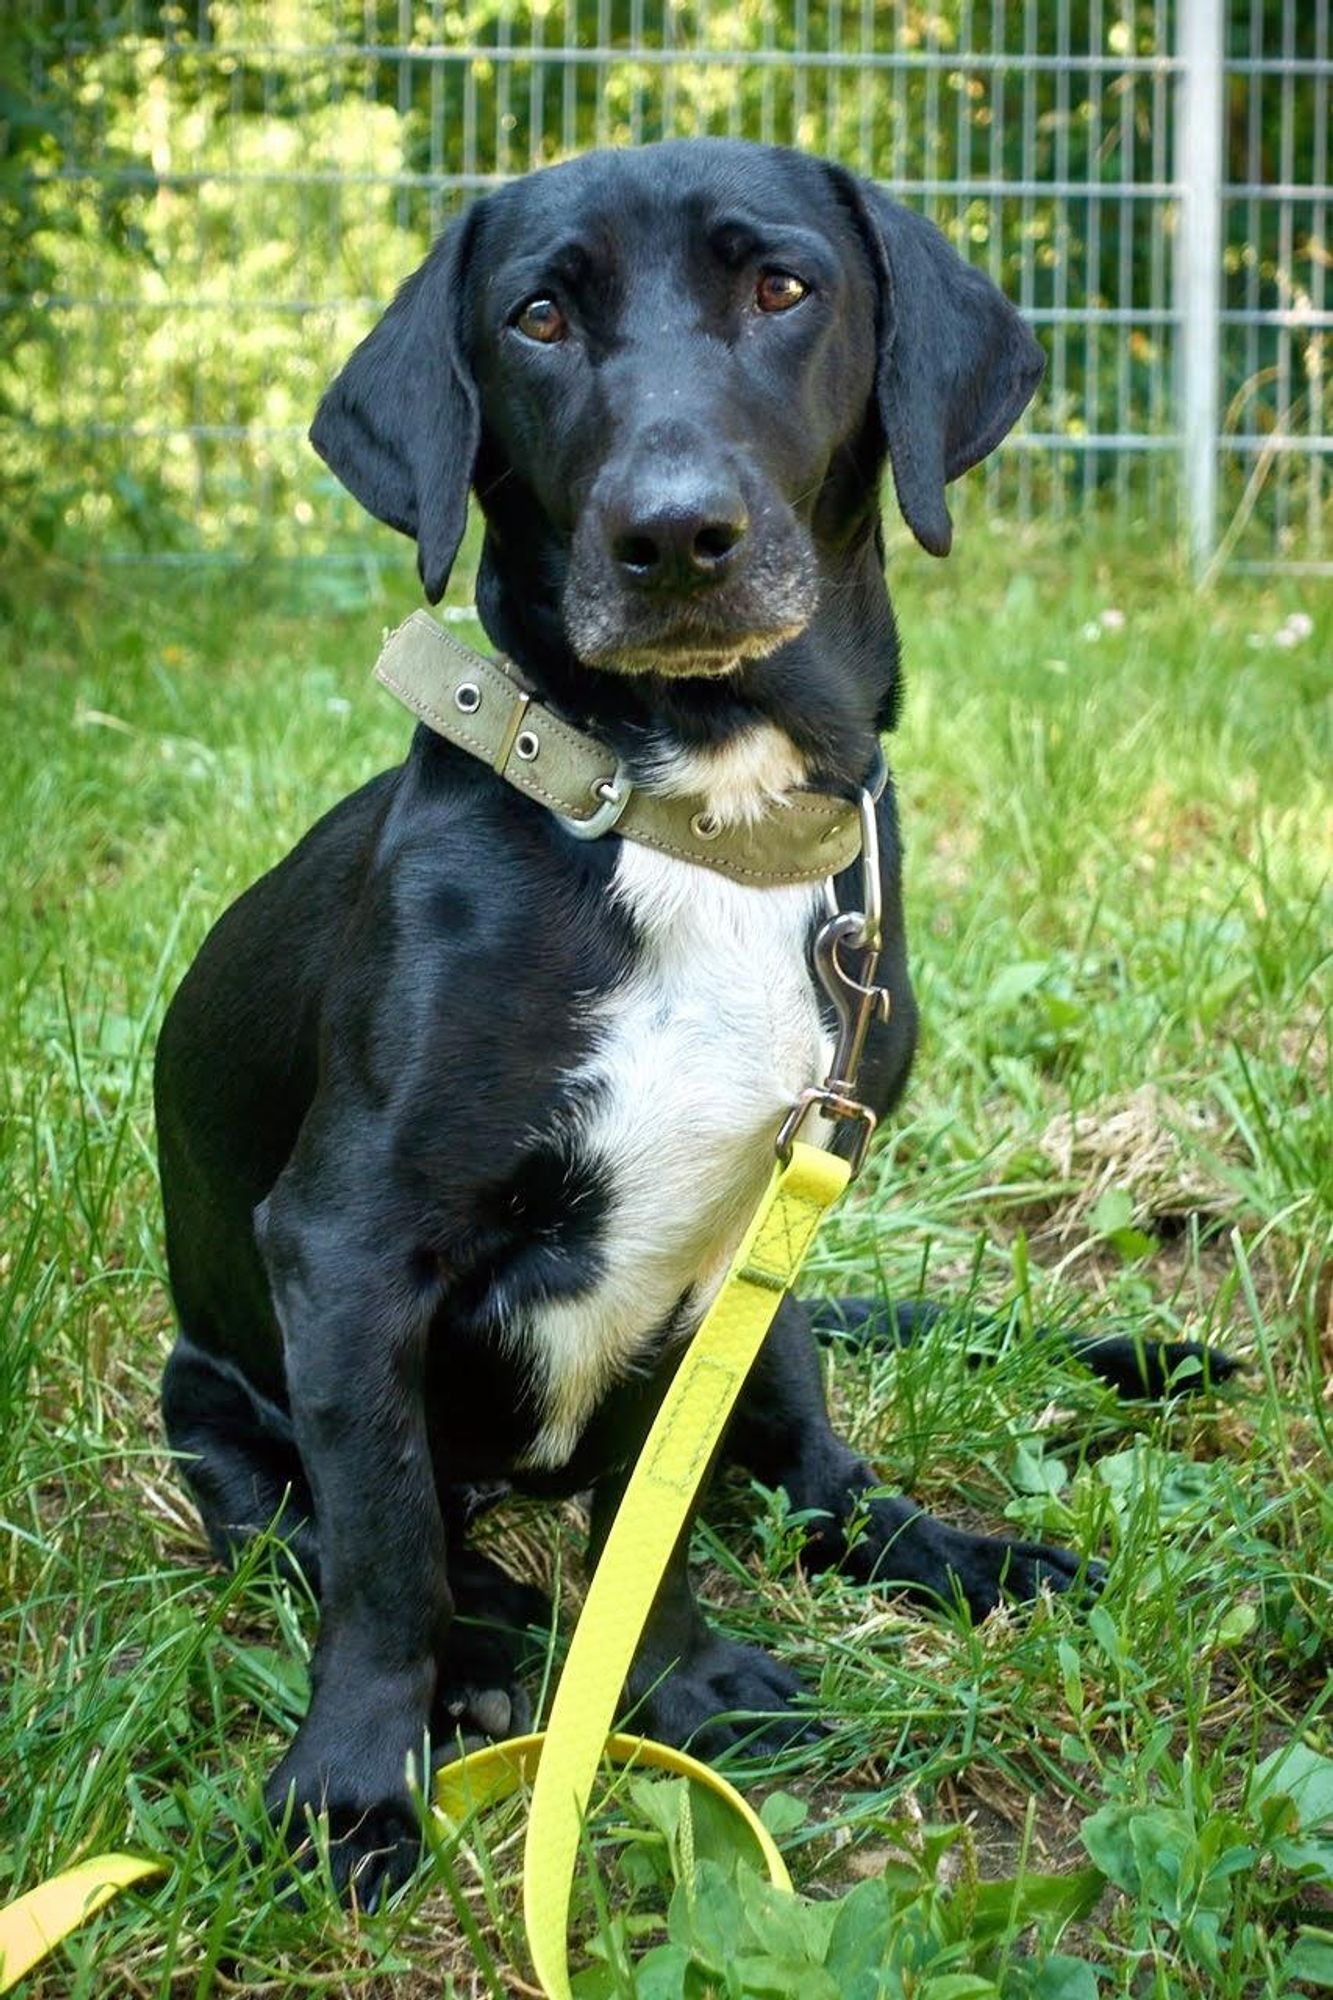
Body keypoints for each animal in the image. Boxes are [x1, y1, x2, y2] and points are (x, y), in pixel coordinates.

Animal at [156, 137, 1216, 1888]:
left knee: (814, 1487)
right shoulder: (346, 1247)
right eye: (536, 317)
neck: (696, 815)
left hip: (776, 1321)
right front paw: (356, 1785)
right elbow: (381, 1553)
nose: (674, 536)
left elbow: (646, 1519)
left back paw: (953, 1553)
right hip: (219, 1414)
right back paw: (489, 1641)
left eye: (783, 287)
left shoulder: (715, 1252)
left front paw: (669, 1686)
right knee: (365, 1532)